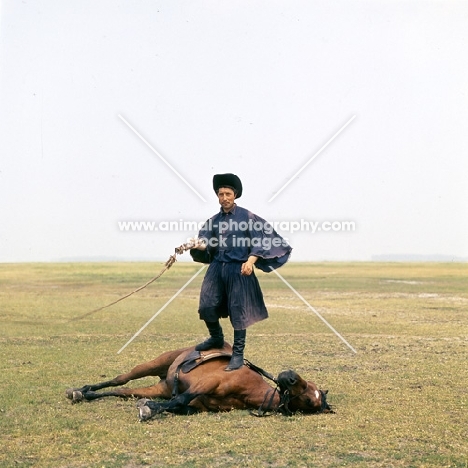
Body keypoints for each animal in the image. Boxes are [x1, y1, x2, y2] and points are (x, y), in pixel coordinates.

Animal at [65, 340, 332, 420]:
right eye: (309, 387)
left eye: (311, 401)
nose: (290, 375)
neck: (249, 389)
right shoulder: (207, 383)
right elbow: (180, 398)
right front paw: (148, 410)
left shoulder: (198, 405)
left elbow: (178, 404)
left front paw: (149, 408)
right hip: (152, 365)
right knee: (119, 380)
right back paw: (81, 390)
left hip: (158, 387)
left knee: (122, 392)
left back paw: (85, 394)